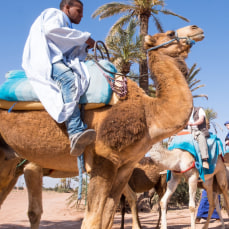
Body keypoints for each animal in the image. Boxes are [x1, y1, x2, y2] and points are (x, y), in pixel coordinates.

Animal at [0, 24, 204, 228]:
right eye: (170, 33)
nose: (196, 28)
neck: (148, 114)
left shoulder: (124, 168)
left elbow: (106, 216)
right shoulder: (103, 160)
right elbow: (91, 220)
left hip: (9, 161)